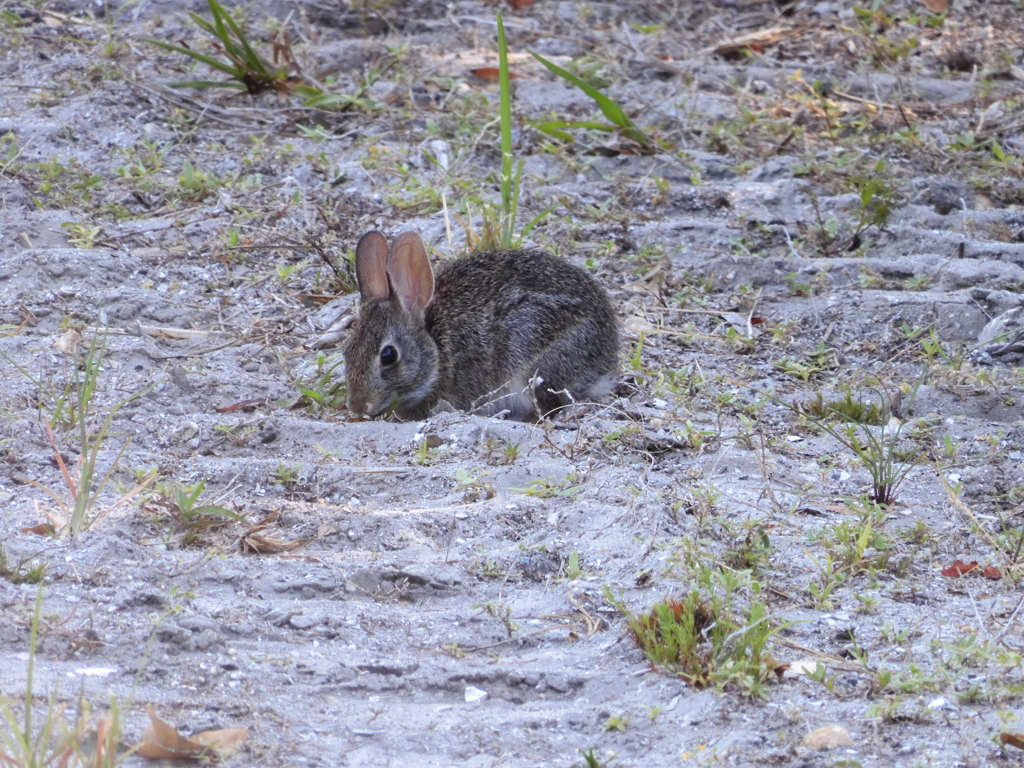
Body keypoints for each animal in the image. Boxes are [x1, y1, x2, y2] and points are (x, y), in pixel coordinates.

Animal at [344, 230, 618, 421]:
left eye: (388, 355)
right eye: (347, 351)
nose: (357, 405)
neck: (437, 349)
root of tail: (607, 359)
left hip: (533, 363)